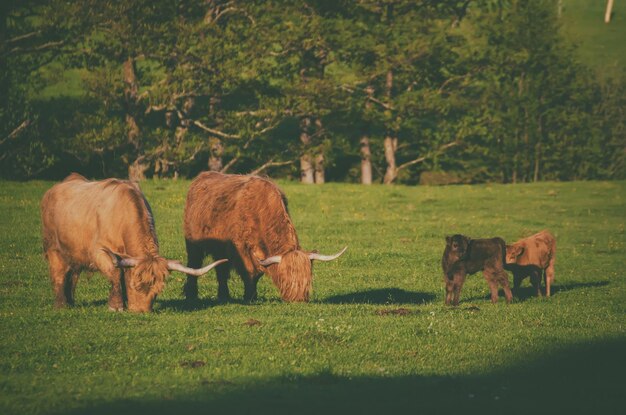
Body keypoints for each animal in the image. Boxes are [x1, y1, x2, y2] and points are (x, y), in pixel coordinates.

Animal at [39, 172, 224, 312]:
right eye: (135, 285)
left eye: (157, 291)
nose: (141, 311)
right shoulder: (99, 252)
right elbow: (115, 274)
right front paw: (116, 306)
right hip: (53, 247)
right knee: (59, 273)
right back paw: (61, 305)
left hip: (74, 253)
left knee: (72, 275)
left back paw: (70, 301)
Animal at [180, 171, 346, 302]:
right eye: (285, 279)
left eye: (308, 280)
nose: (298, 299)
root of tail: (202, 176)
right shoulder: (240, 248)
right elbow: (250, 271)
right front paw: (249, 297)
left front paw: (252, 295)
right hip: (193, 244)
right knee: (194, 265)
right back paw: (191, 294)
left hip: (219, 248)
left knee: (221, 270)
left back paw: (224, 296)